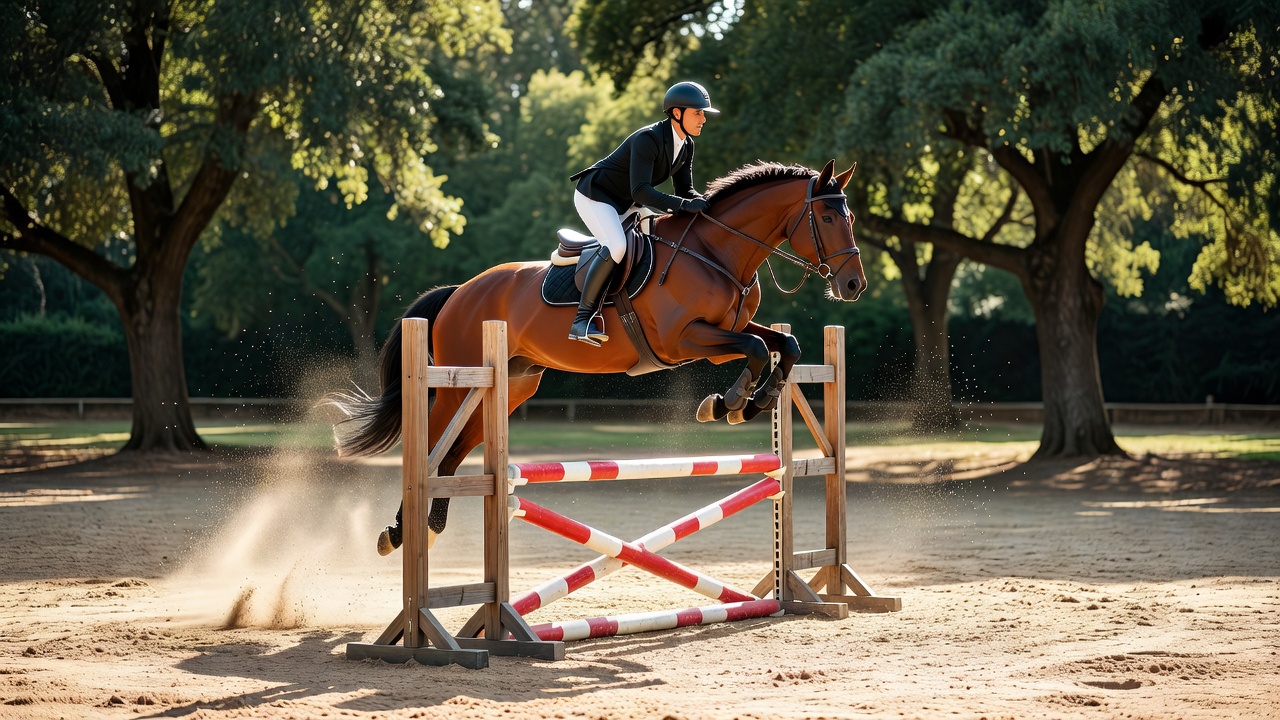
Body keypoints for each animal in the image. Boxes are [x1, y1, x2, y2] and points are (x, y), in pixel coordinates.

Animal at [329, 160, 865, 555]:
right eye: (828, 217)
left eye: (852, 217)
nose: (854, 285)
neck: (717, 252)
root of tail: (460, 291)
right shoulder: (685, 340)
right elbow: (754, 350)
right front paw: (728, 403)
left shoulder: (725, 333)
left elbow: (784, 346)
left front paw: (754, 400)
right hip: (456, 388)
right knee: (433, 447)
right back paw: (398, 532)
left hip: (511, 386)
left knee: (453, 454)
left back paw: (427, 526)